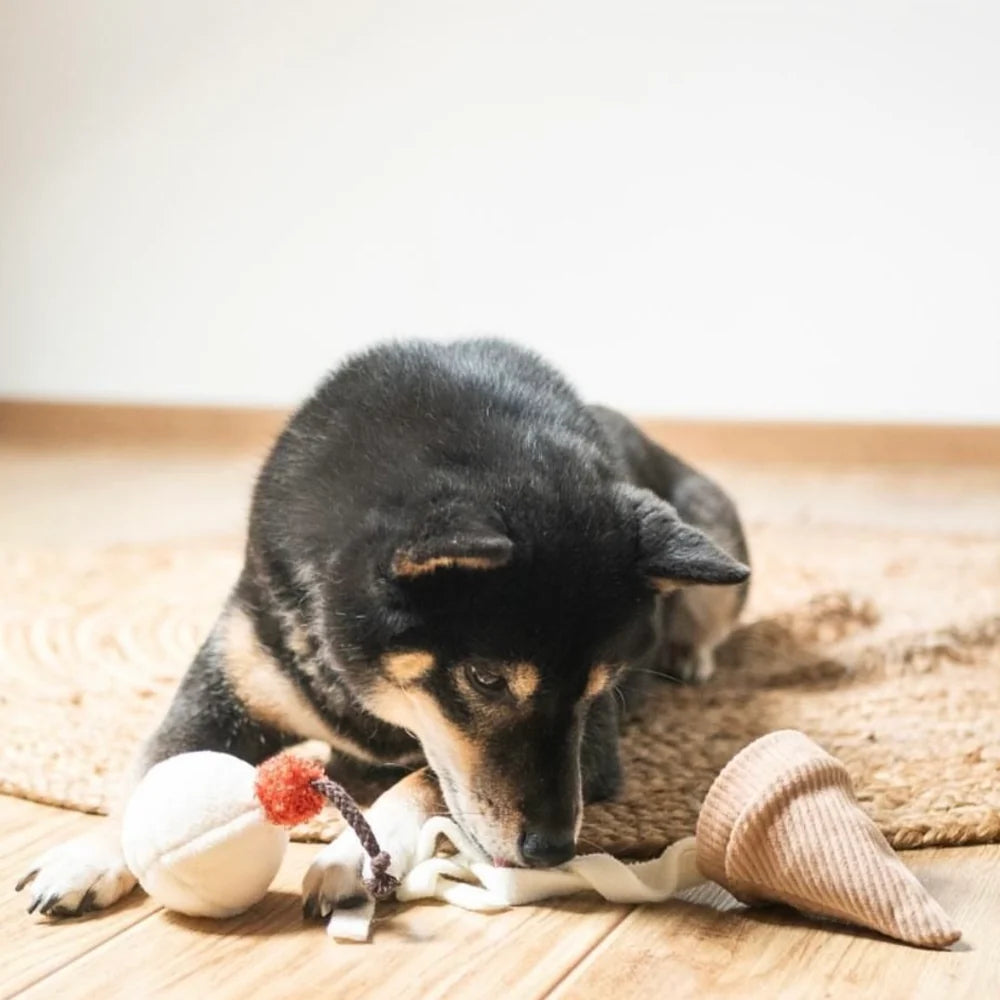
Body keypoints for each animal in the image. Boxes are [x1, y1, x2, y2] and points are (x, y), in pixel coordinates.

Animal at [17, 340, 752, 916]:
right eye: (486, 679)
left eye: (601, 687)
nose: (552, 850)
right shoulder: (223, 689)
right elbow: (148, 773)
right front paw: (89, 855)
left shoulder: (593, 746)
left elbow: (426, 779)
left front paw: (355, 853)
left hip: (716, 542)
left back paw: (692, 656)